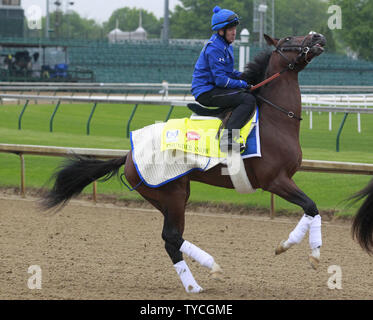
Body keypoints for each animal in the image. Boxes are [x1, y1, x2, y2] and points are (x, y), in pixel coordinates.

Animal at [41, 33, 326, 294]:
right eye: (288, 39)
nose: (318, 36)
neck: (275, 120)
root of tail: (129, 155)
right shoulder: (275, 180)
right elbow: (311, 206)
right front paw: (296, 249)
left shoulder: (283, 179)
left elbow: (312, 210)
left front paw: (305, 252)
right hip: (172, 194)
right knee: (172, 237)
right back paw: (209, 270)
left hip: (168, 197)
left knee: (171, 239)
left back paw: (194, 284)